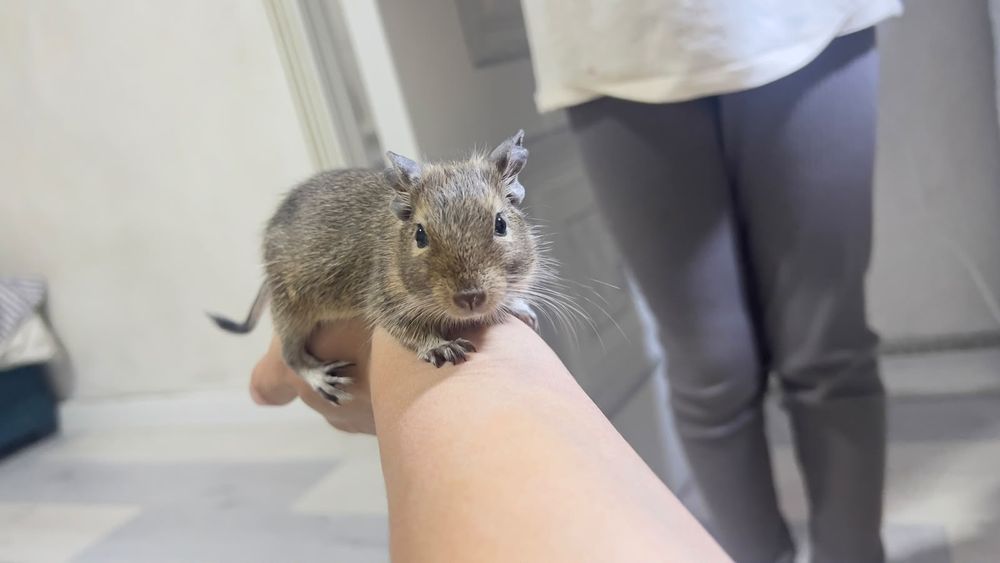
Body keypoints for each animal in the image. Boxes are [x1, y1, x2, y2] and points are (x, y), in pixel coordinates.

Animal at [210, 131, 546, 404]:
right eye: (420, 235)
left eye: (500, 224)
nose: (470, 298)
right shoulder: (382, 299)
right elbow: (404, 327)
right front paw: (439, 347)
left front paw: (516, 304)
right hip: (291, 309)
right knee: (290, 355)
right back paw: (318, 376)